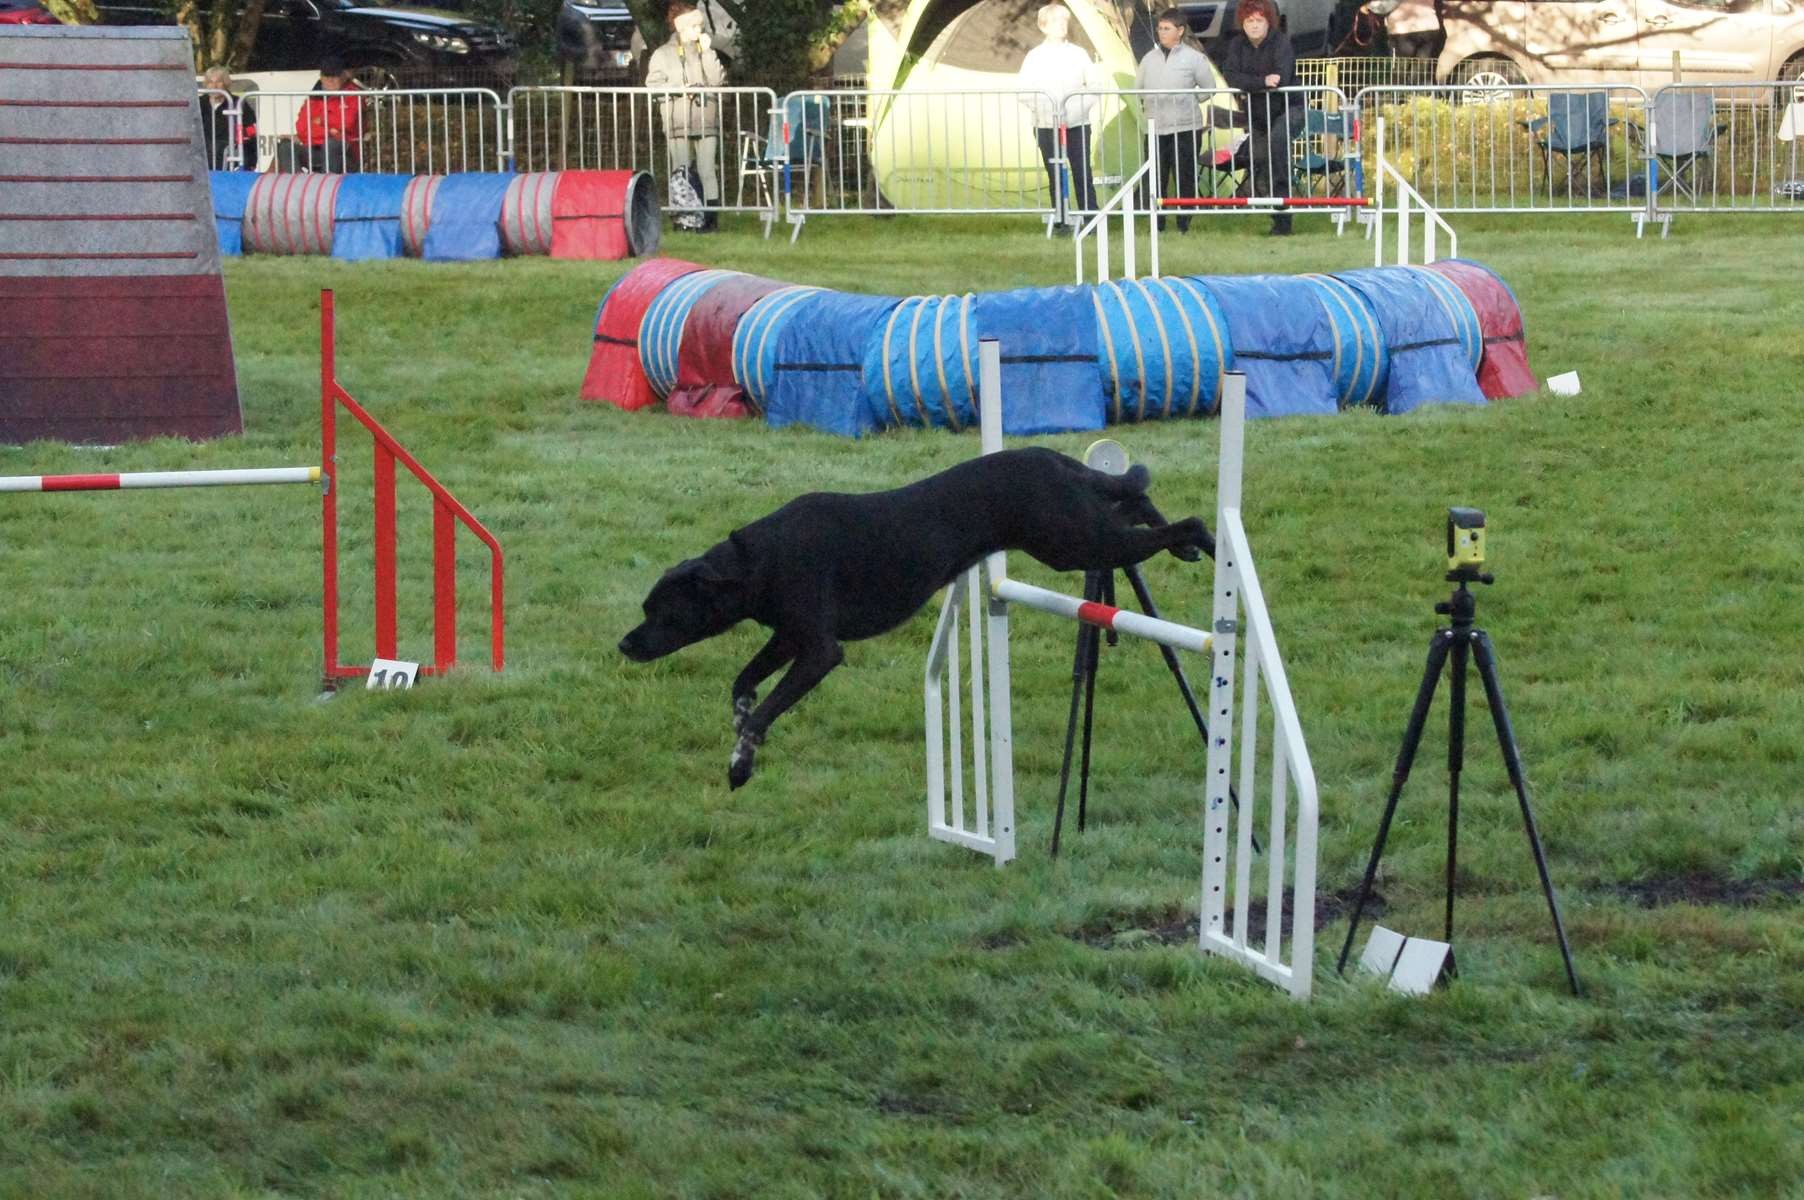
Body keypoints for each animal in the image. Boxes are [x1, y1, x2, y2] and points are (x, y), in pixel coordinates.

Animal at [616, 443, 1212, 790]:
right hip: (1083, 531)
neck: (757, 561)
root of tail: (1060, 460)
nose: (624, 644)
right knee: (1136, 500)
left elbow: (766, 710)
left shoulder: (819, 650)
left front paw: (742, 760)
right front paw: (740, 730)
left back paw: (1204, 541)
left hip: (1072, 542)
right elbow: (743, 686)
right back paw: (1183, 542)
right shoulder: (789, 636)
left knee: (1178, 518)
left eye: (661, 610)